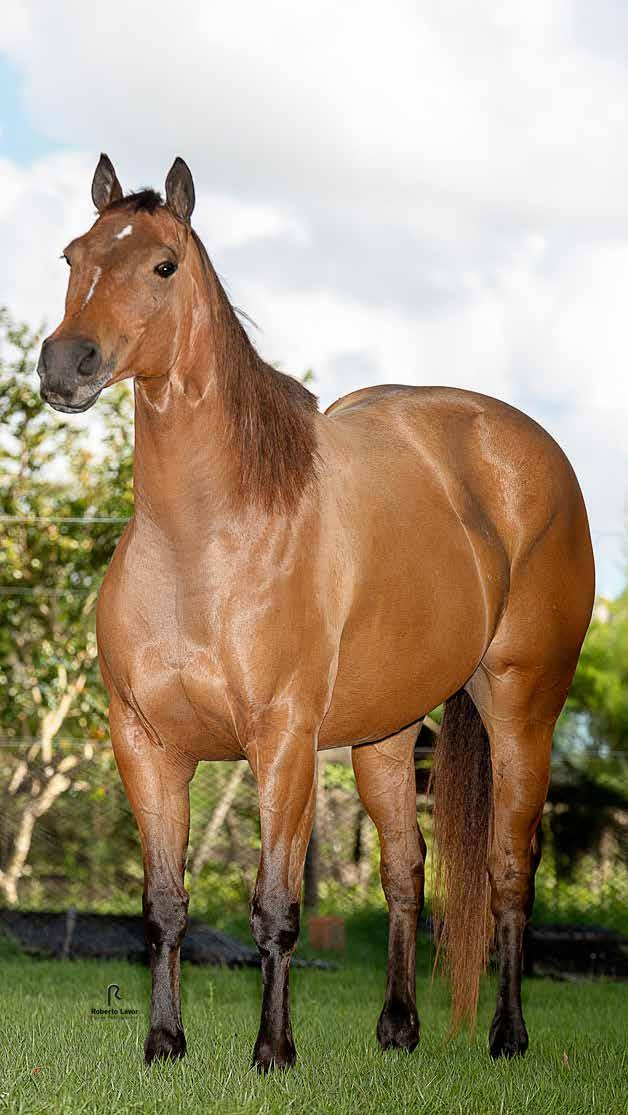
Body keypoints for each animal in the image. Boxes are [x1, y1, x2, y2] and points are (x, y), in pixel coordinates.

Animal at [36, 157, 597, 1070]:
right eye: (73, 255)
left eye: (163, 265)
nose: (66, 364)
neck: (208, 538)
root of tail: (527, 452)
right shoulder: (145, 744)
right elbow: (164, 905)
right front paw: (165, 1042)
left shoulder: (283, 742)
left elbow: (275, 905)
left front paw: (274, 1050)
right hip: (384, 738)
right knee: (406, 867)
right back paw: (398, 1027)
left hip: (522, 712)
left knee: (510, 869)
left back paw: (508, 1035)